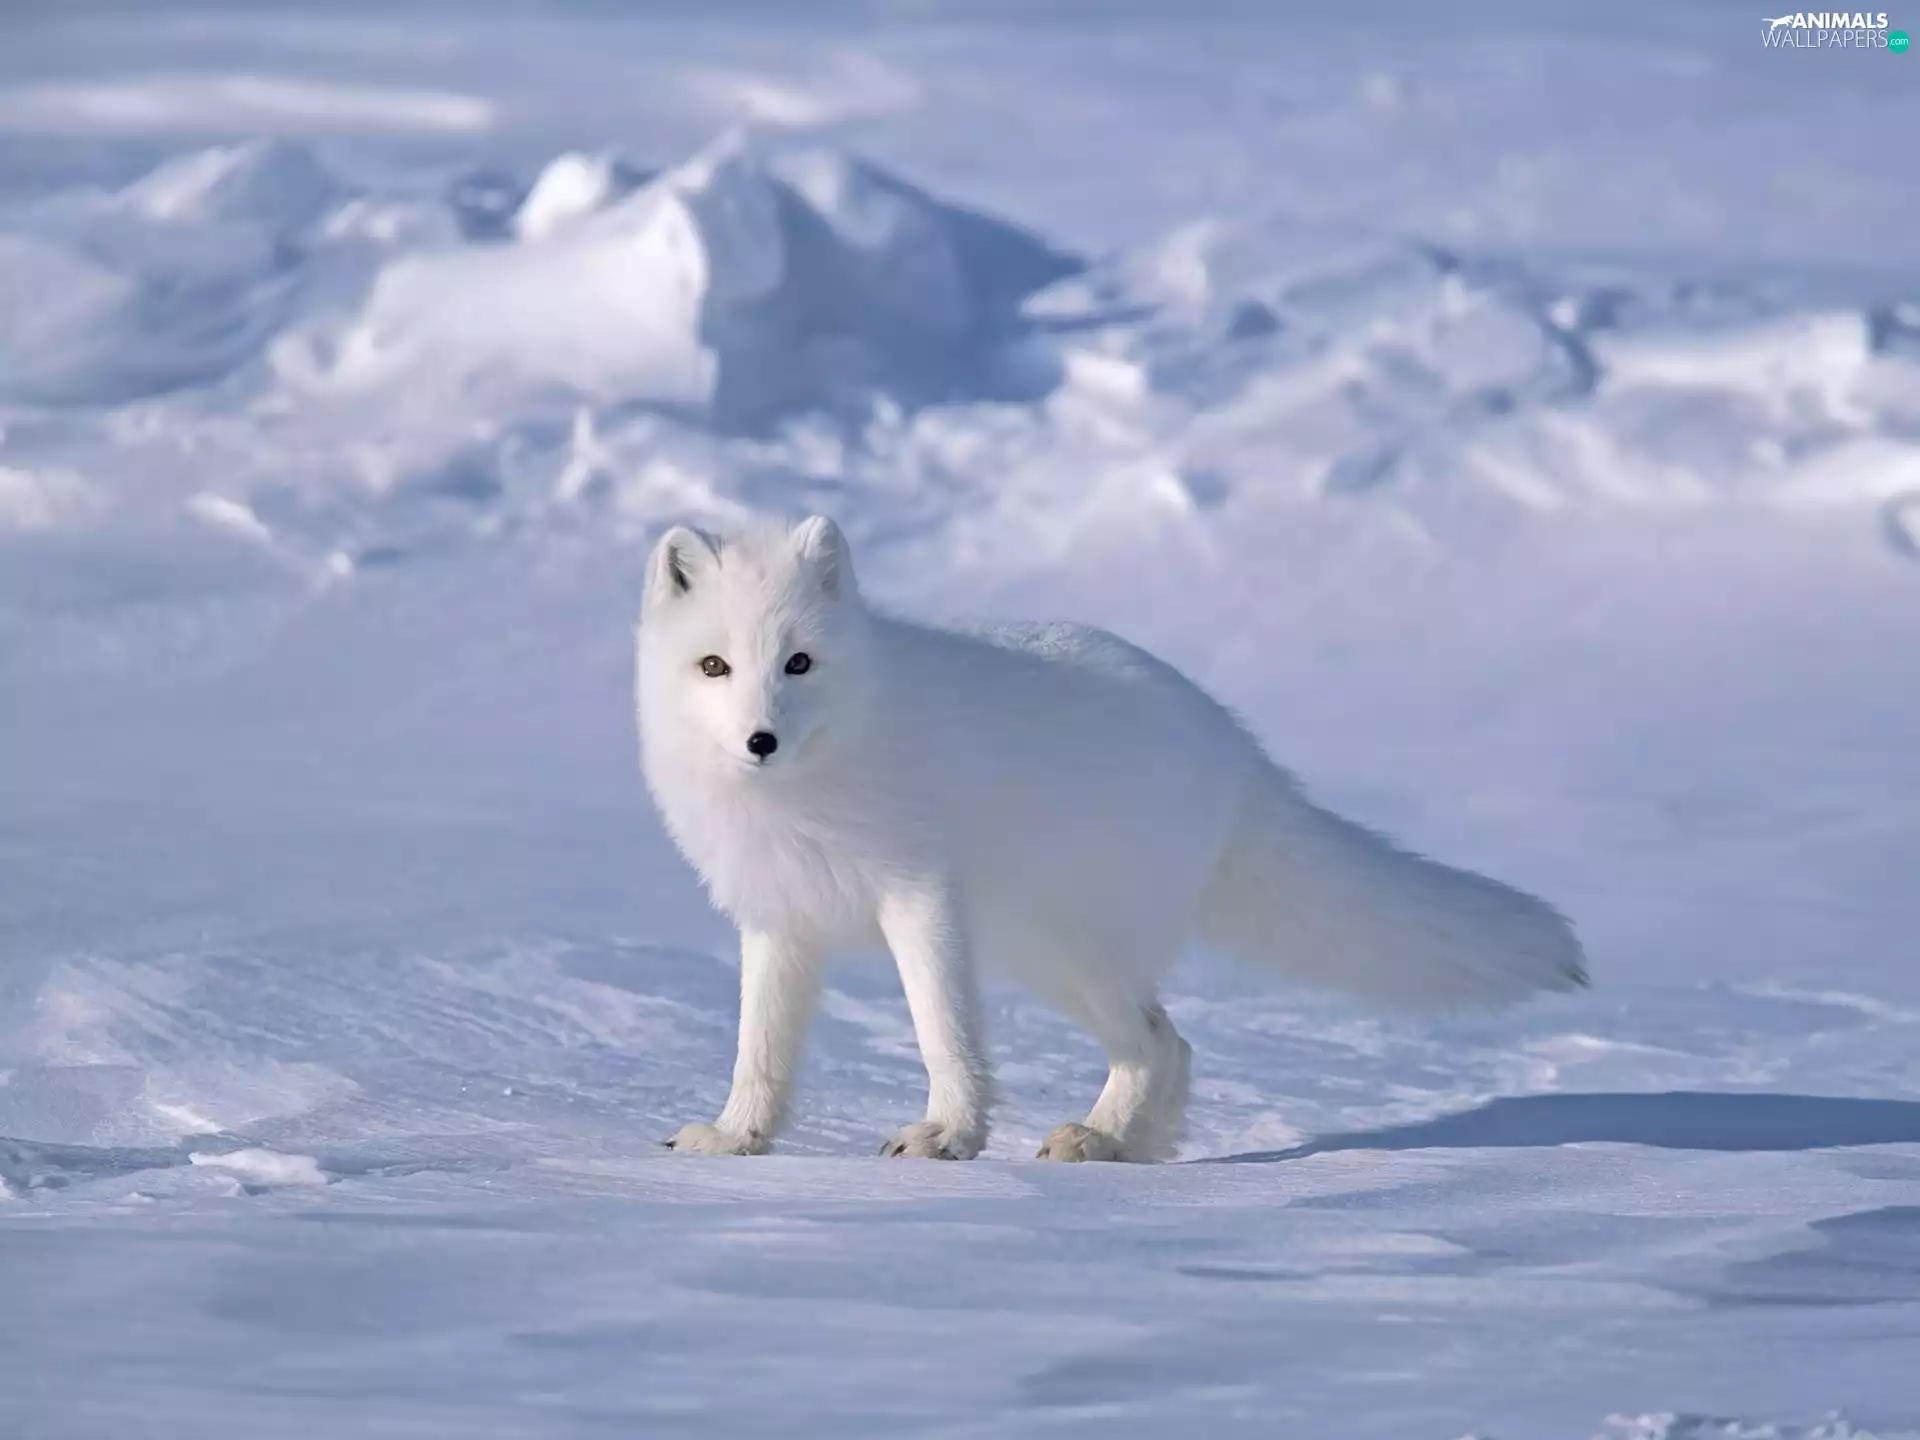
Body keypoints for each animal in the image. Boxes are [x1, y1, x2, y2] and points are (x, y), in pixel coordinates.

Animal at [637, 515, 1587, 1163]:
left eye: (798, 662)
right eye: (715, 666)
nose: (760, 739)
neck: (809, 787)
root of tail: (1234, 746)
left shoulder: (919, 897)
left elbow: (944, 1031)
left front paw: (948, 1136)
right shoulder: (779, 920)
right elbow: (759, 1050)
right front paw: (736, 1137)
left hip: (1063, 948)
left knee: (1161, 1040)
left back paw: (1100, 1139)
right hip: (1043, 952)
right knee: (1171, 1043)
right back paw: (1127, 1145)